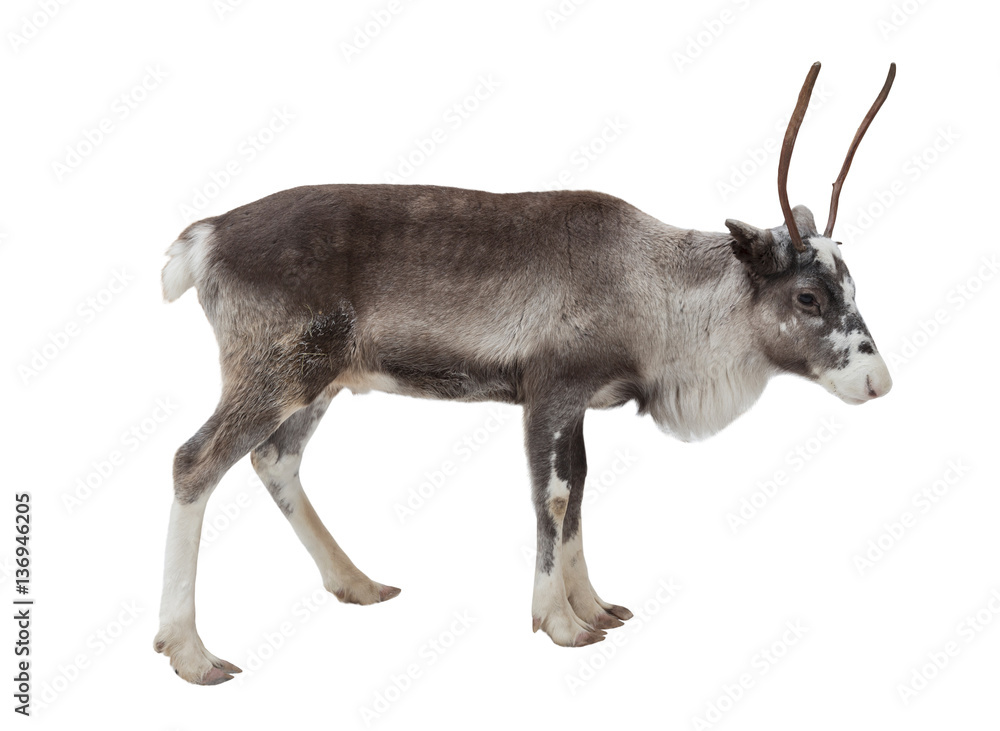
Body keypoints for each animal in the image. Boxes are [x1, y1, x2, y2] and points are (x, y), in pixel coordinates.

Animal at [154, 62, 895, 684]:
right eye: (808, 296)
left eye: (852, 284)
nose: (878, 382)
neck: (652, 292)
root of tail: (205, 236)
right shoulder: (548, 393)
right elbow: (554, 498)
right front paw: (560, 623)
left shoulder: (578, 405)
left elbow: (581, 493)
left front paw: (595, 607)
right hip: (274, 370)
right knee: (196, 460)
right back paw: (190, 652)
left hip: (320, 379)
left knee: (274, 459)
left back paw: (356, 583)